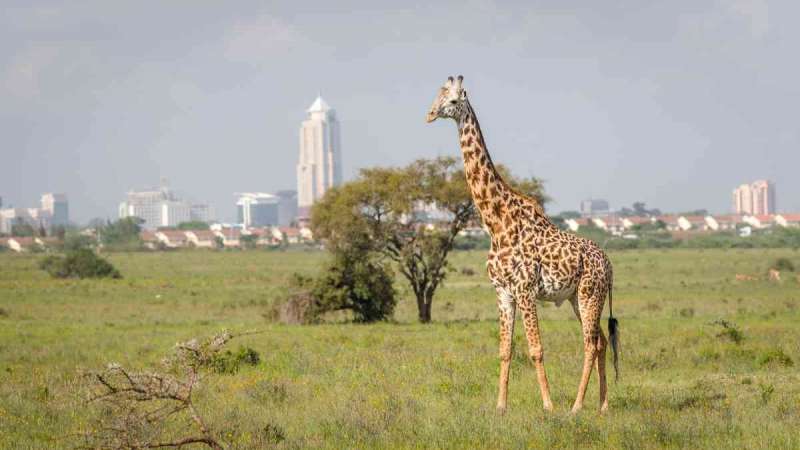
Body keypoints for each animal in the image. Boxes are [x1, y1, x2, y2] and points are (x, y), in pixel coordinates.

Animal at [426, 76, 619, 414]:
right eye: (438, 96)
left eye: (453, 100)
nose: (430, 114)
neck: (496, 223)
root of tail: (608, 265)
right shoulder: (503, 292)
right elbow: (505, 350)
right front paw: (501, 407)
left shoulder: (525, 290)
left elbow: (536, 349)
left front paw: (548, 406)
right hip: (576, 297)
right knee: (601, 342)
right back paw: (603, 405)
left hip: (589, 293)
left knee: (590, 343)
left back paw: (576, 406)